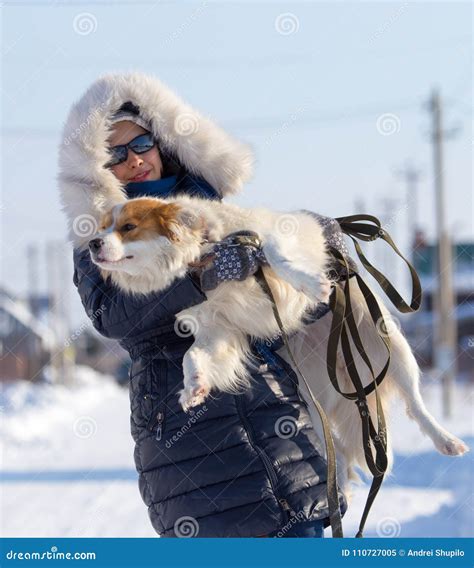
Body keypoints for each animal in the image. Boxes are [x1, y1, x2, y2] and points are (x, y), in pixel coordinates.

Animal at [88, 195, 466, 488]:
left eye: (128, 227)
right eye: (104, 226)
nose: (92, 243)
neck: (205, 256)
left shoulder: (265, 238)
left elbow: (275, 254)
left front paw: (311, 284)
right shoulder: (216, 326)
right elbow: (192, 356)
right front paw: (194, 386)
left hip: (390, 346)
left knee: (415, 404)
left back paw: (446, 441)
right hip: (307, 392)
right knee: (331, 441)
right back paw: (339, 477)